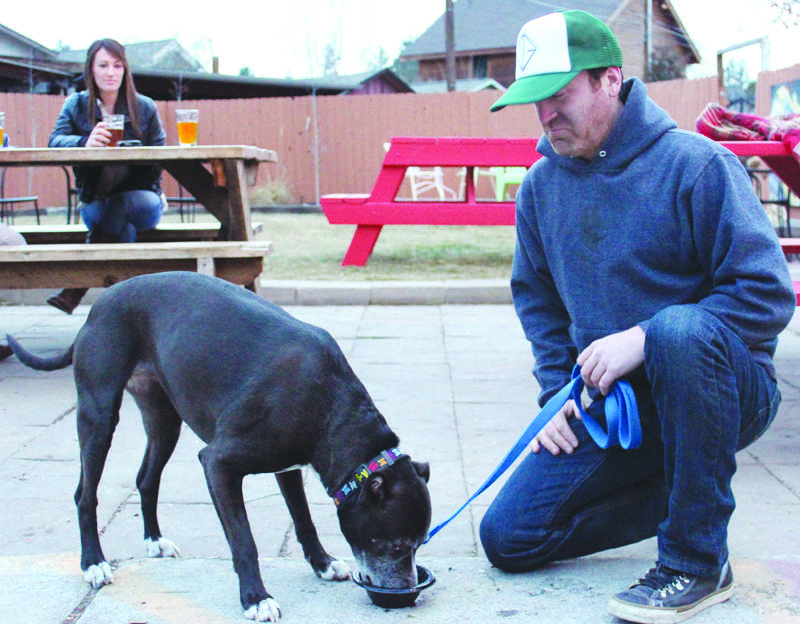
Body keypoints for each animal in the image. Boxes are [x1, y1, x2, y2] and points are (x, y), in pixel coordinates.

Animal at [6, 272, 432, 620]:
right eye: (395, 544)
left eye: (417, 545)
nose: (408, 590)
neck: (334, 407)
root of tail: (101, 303)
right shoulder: (218, 463)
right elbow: (244, 540)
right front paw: (256, 598)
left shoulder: (288, 465)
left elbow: (303, 519)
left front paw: (323, 564)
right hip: (99, 414)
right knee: (85, 494)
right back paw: (93, 563)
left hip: (164, 421)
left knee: (146, 479)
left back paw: (155, 541)